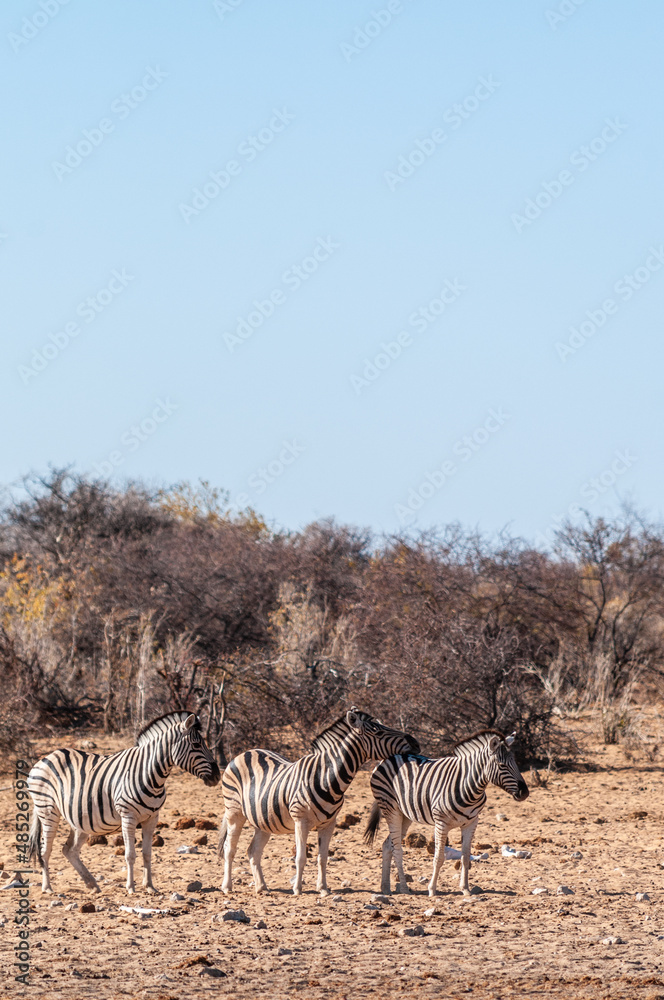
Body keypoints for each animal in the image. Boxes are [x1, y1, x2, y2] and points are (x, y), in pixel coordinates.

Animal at [27, 711, 220, 894]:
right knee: (45, 851)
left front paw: (150, 886)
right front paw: (131, 888)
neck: (150, 775)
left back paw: (92, 884)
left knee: (69, 850)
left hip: (80, 820)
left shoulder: (152, 818)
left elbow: (147, 854)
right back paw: (47, 887)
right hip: (48, 811)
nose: (217, 775)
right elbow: (130, 855)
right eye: (196, 745)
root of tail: (46, 757)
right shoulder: (128, 817)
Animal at [218, 707, 420, 896]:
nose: (415, 743)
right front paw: (298, 889)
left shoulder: (329, 823)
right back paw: (227, 887)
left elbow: (322, 858)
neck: (326, 777)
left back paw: (262, 887)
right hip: (234, 812)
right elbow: (300, 857)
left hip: (264, 820)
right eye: (378, 731)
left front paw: (323, 888)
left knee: (253, 851)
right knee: (229, 848)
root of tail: (245, 753)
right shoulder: (301, 821)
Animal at [364, 729, 529, 896]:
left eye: (515, 763)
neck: (468, 787)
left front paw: (465, 889)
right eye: (502, 765)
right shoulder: (441, 823)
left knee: (387, 845)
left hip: (405, 815)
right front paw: (432, 890)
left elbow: (465, 857)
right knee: (396, 848)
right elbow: (439, 858)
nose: (525, 793)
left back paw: (385, 888)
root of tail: (387, 757)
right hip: (391, 809)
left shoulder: (471, 822)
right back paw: (404, 888)